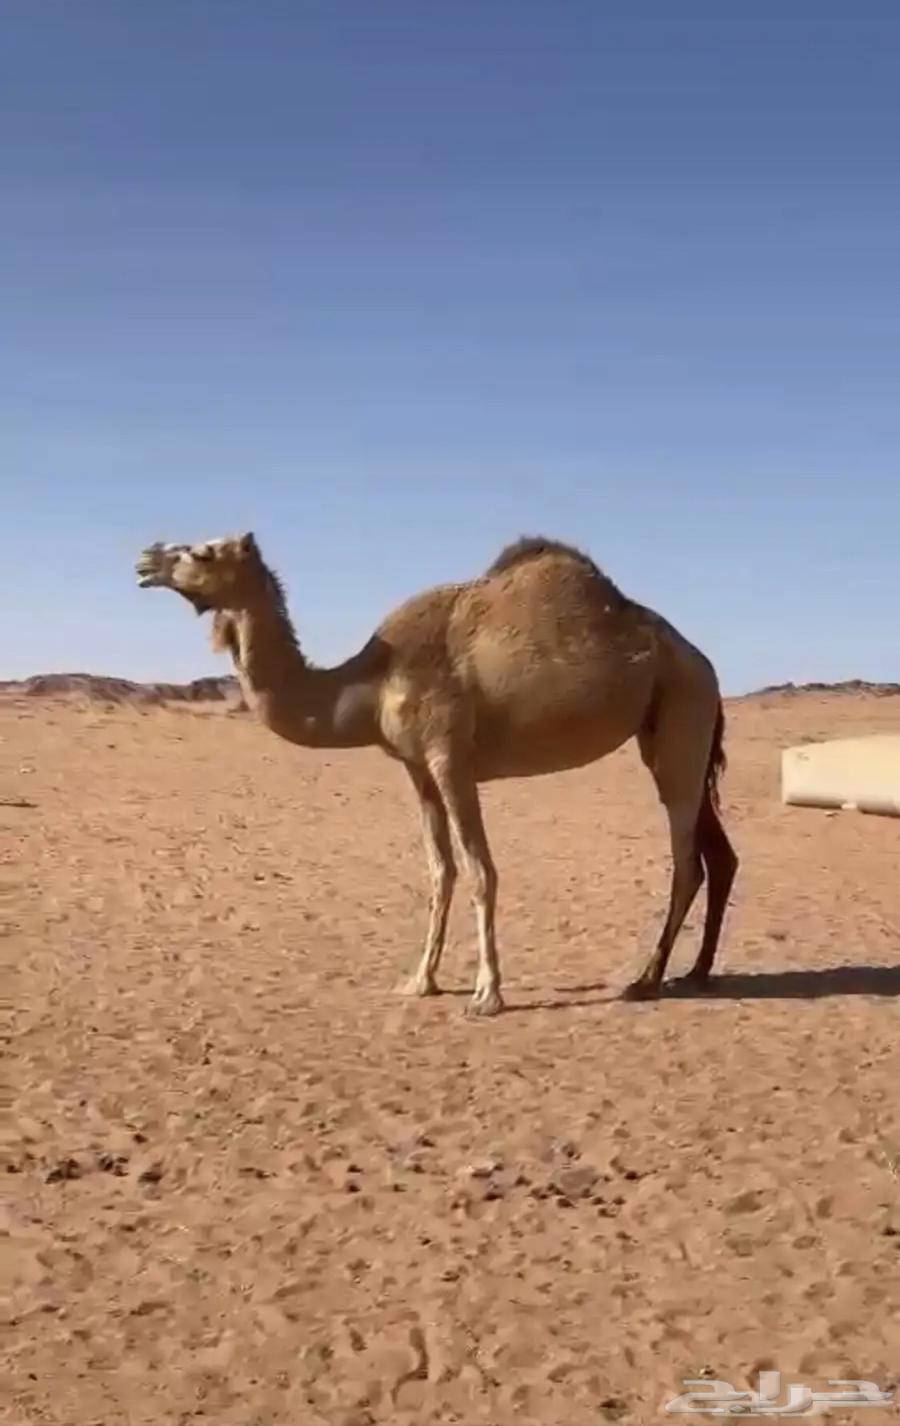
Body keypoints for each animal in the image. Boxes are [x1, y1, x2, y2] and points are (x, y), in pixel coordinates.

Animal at [136, 532, 737, 1015]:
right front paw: (420, 980)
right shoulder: (416, 768)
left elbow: (479, 870)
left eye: (202, 550)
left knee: (687, 860)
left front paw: (487, 995)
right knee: (719, 854)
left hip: (683, 709)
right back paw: (696, 972)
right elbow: (439, 870)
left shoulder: (451, 758)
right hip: (674, 730)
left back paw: (646, 979)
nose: (145, 559)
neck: (369, 683)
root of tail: (704, 662)